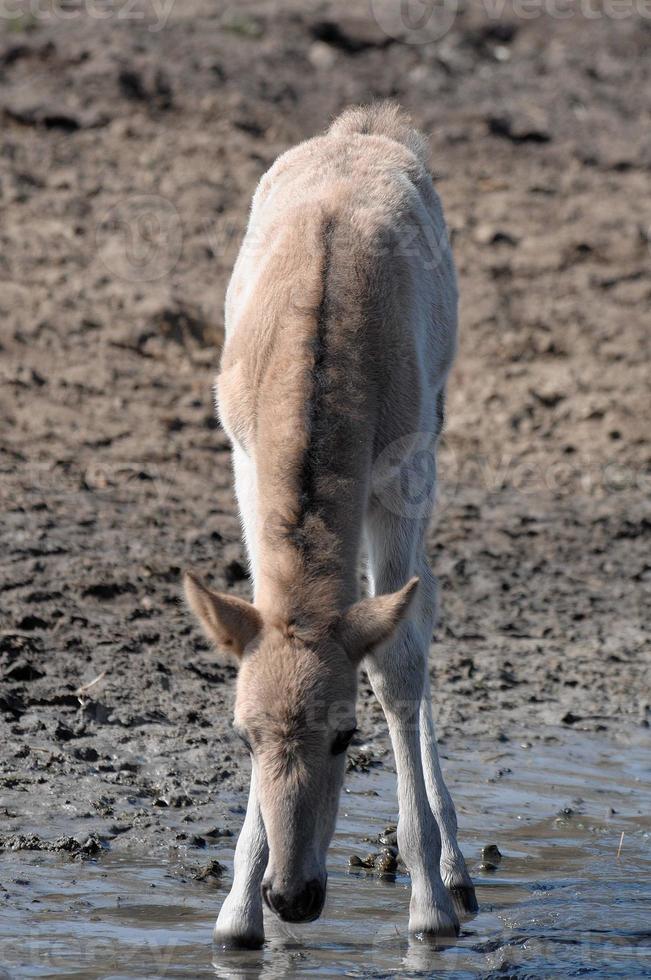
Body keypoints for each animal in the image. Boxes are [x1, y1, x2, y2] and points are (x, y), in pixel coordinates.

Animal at [186, 103, 476, 944]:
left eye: (346, 736)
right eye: (243, 735)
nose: (292, 895)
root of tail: (364, 126)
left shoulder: (402, 477)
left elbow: (395, 664)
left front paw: (429, 910)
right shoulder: (244, 466)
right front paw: (237, 917)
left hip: (432, 444)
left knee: (424, 605)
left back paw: (456, 866)